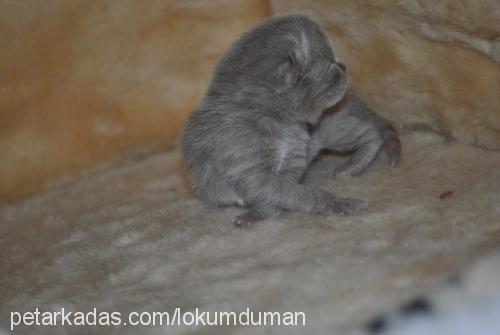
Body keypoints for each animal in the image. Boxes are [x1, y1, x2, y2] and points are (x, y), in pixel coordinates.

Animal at [182, 14, 400, 227]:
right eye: (330, 66)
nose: (343, 66)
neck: (278, 121)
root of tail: (352, 95)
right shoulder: (245, 165)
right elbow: (288, 192)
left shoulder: (293, 157)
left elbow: (290, 191)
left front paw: (262, 212)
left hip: (334, 129)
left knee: (371, 133)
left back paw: (352, 166)